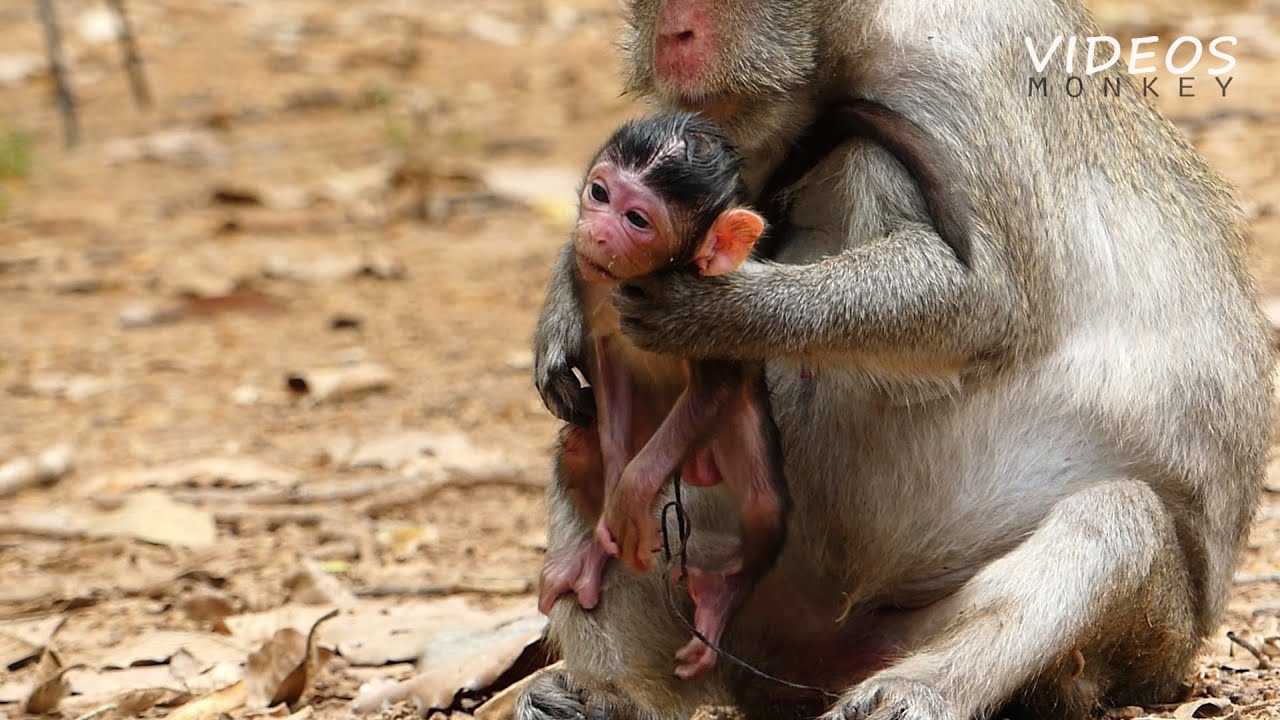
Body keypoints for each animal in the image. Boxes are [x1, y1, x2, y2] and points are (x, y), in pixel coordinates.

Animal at [523, 1, 1273, 720]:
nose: (675, 36)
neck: (846, 44)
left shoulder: (961, 62)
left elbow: (980, 300)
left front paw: (712, 312)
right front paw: (568, 295)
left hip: (1133, 643)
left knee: (1115, 523)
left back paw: (917, 688)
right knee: (594, 450)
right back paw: (616, 693)